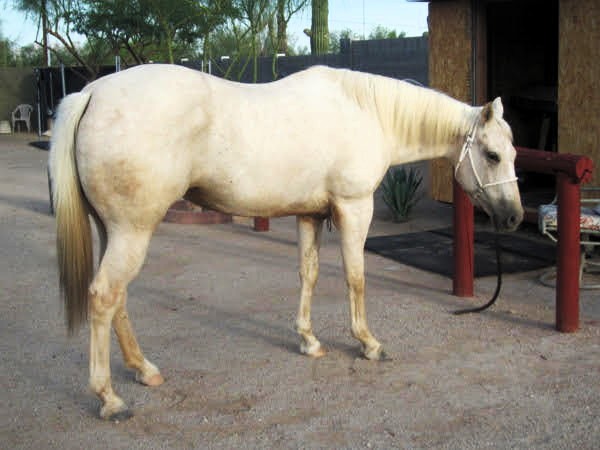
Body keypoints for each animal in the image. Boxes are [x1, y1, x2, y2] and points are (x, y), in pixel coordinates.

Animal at [50, 64, 523, 420]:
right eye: (493, 155)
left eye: (514, 154)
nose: (514, 217)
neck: (365, 112)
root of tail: (91, 93)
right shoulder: (354, 208)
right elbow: (355, 277)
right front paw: (368, 344)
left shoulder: (310, 214)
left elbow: (308, 274)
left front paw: (309, 341)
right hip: (133, 231)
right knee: (104, 297)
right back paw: (110, 398)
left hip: (115, 230)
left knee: (118, 300)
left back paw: (143, 369)